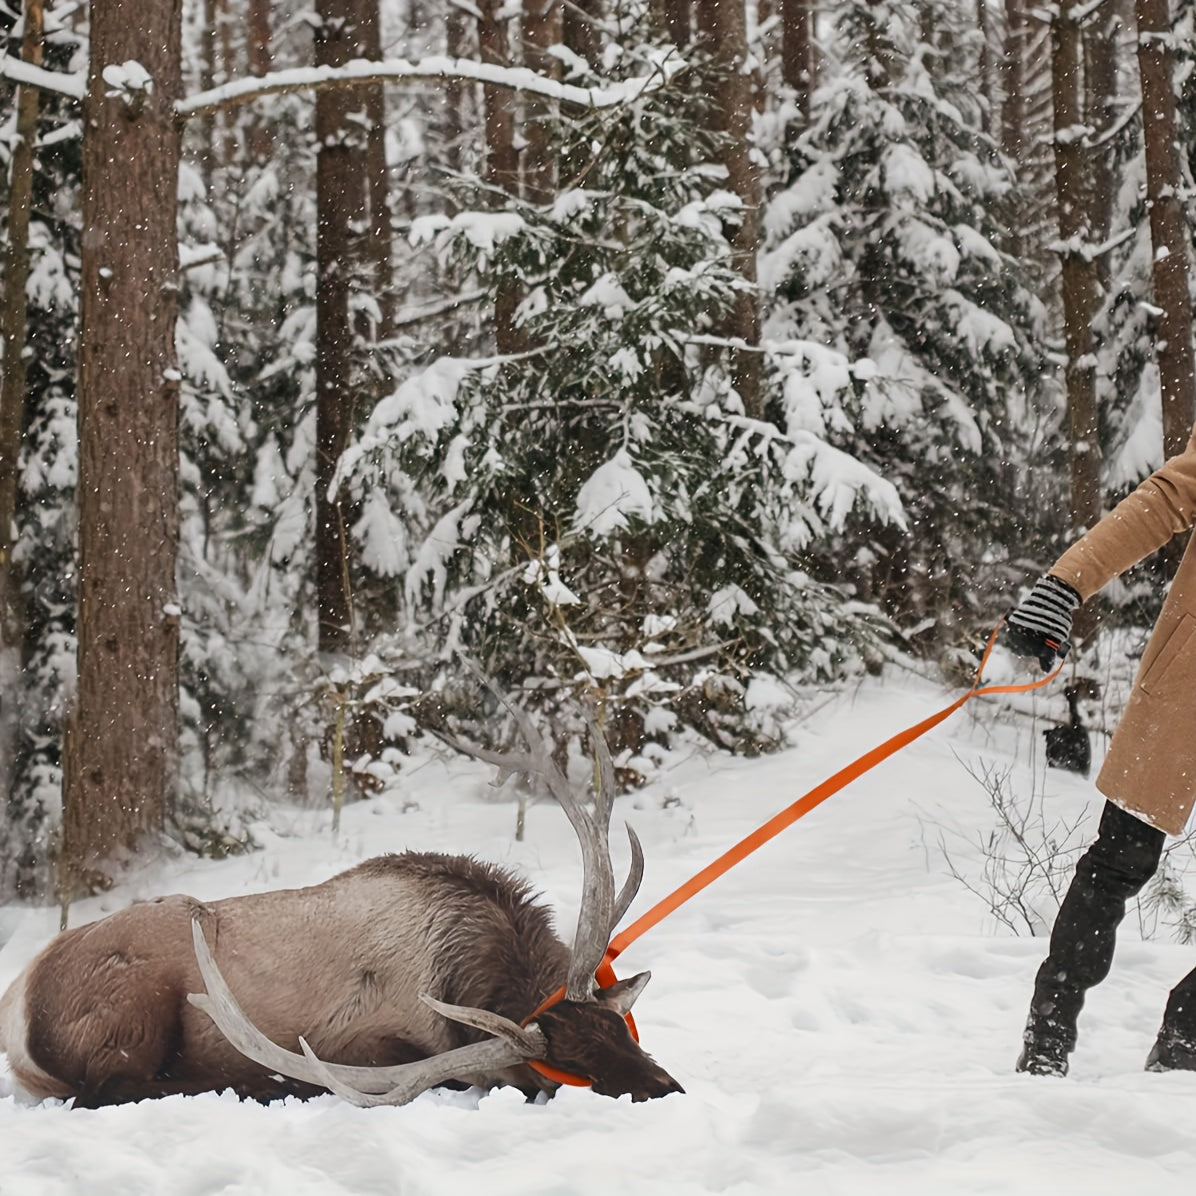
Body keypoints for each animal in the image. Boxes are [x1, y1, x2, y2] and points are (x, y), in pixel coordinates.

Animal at [0, 696, 683, 1108]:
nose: (668, 1089)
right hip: (129, 1014)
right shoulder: (363, 1044)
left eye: (618, 1029)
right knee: (111, 1087)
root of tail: (19, 999)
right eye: (562, 1068)